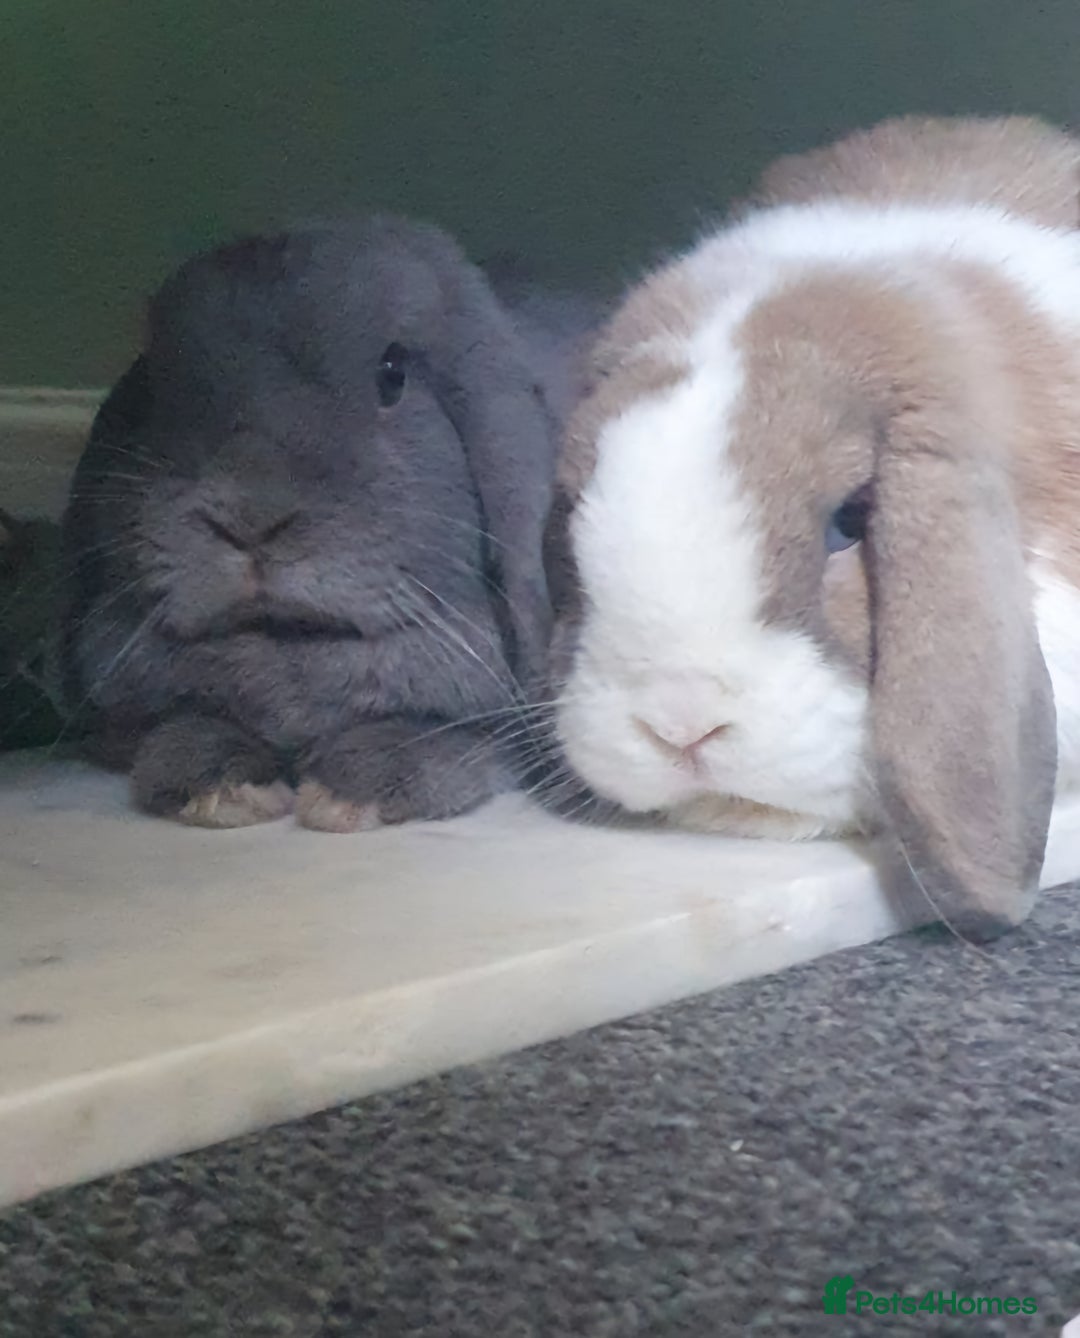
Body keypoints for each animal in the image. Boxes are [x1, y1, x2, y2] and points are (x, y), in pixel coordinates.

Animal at [61, 215, 596, 830]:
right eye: (164, 387)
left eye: (393, 374)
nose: (249, 515)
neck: (290, 649)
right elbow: (189, 726)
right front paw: (220, 788)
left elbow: (446, 738)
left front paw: (350, 794)